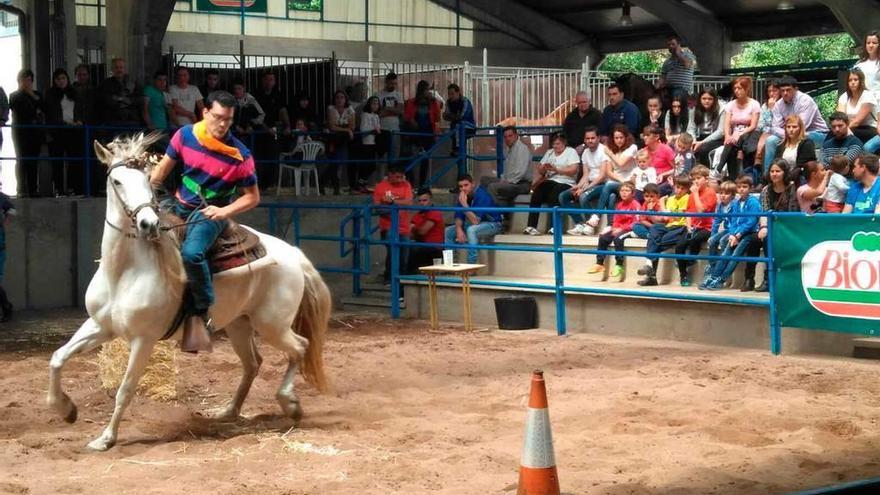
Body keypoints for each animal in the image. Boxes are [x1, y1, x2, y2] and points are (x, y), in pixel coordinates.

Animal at [47, 134, 330, 452]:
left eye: (146, 180)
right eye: (117, 181)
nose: (148, 224)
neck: (122, 272)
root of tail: (293, 253)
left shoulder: (143, 340)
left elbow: (125, 389)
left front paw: (106, 438)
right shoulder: (100, 325)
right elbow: (57, 358)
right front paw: (66, 409)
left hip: (272, 325)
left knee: (300, 347)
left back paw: (290, 403)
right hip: (239, 324)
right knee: (253, 363)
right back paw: (228, 411)